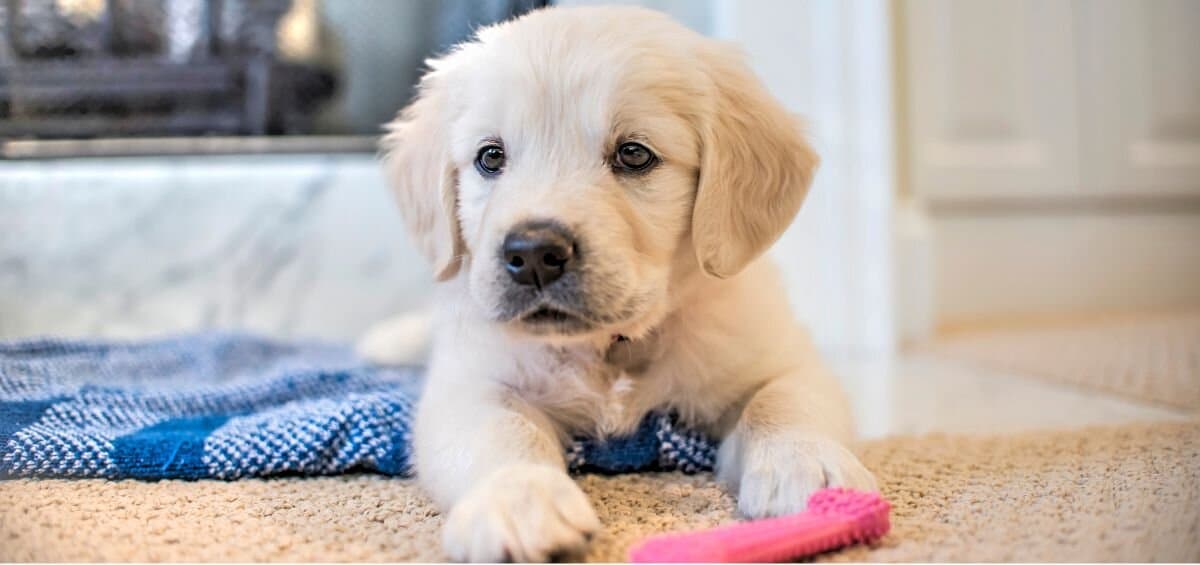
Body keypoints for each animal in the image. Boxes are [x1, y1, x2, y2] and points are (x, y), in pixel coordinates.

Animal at [369, 4, 878, 561]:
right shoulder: (472, 379)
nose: (533, 255)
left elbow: (783, 401)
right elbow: (500, 430)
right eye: (490, 157)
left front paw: (808, 468)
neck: (610, 348)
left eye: (634, 154)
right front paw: (520, 500)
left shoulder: (778, 353)